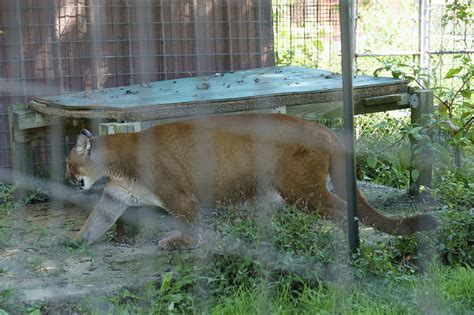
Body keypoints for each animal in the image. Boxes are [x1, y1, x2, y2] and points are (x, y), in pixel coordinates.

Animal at [65, 113, 436, 249]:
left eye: (69, 163)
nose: (67, 179)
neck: (114, 163)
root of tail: (322, 128)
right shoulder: (115, 197)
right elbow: (96, 221)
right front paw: (76, 240)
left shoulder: (181, 199)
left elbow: (189, 225)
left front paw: (181, 244)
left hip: (301, 190)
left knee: (344, 210)